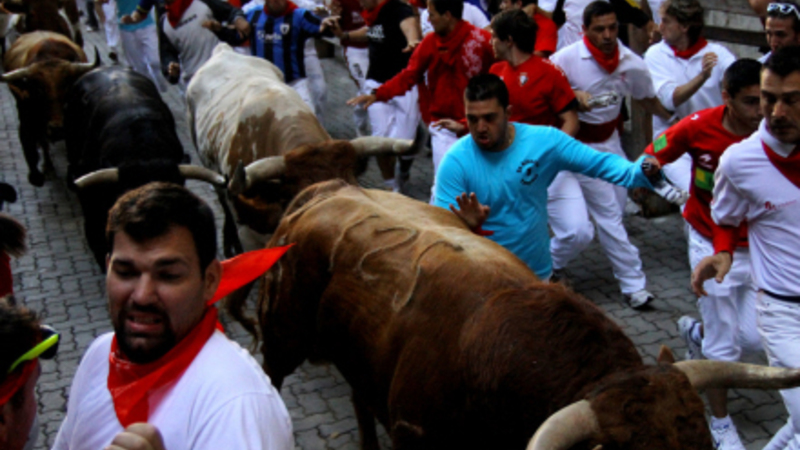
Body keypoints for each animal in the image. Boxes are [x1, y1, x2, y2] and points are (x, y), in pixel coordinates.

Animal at [1, 31, 98, 187]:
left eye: (67, 87)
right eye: (38, 90)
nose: (57, 129)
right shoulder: (26, 117)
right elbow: (33, 147)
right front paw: (37, 174)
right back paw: (47, 166)